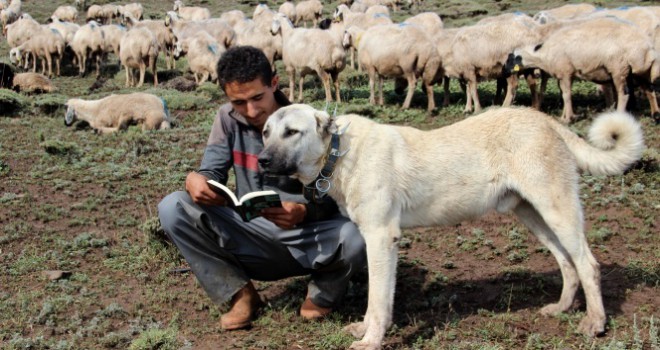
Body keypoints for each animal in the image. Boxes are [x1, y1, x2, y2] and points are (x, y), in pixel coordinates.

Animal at [258, 104, 644, 350]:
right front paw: (365, 330)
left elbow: (378, 299)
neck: (338, 152)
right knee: (567, 262)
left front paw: (371, 340)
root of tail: (544, 119)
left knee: (588, 263)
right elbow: (376, 302)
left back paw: (595, 323)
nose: (261, 160)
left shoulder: (381, 238)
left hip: (557, 209)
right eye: (265, 132)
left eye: (292, 132)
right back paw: (562, 308)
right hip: (533, 215)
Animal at [516, 16, 660, 123]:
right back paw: (655, 115)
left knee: (624, 94)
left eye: (514, 57)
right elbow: (565, 93)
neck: (544, 54)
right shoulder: (566, 75)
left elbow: (566, 95)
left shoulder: (565, 72)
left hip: (619, 68)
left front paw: (567, 118)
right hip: (639, 71)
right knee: (649, 90)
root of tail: (647, 45)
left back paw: (618, 114)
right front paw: (564, 116)